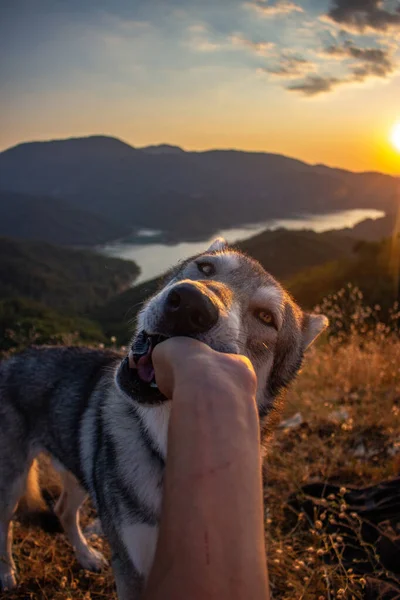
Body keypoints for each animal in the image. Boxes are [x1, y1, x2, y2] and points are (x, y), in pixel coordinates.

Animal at [0, 238, 328, 596]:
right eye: (205, 268)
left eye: (266, 317)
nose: (191, 304)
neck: (165, 449)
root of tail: (11, 359)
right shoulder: (130, 566)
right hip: (13, 483)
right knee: (7, 523)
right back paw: (7, 573)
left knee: (62, 510)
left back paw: (86, 556)